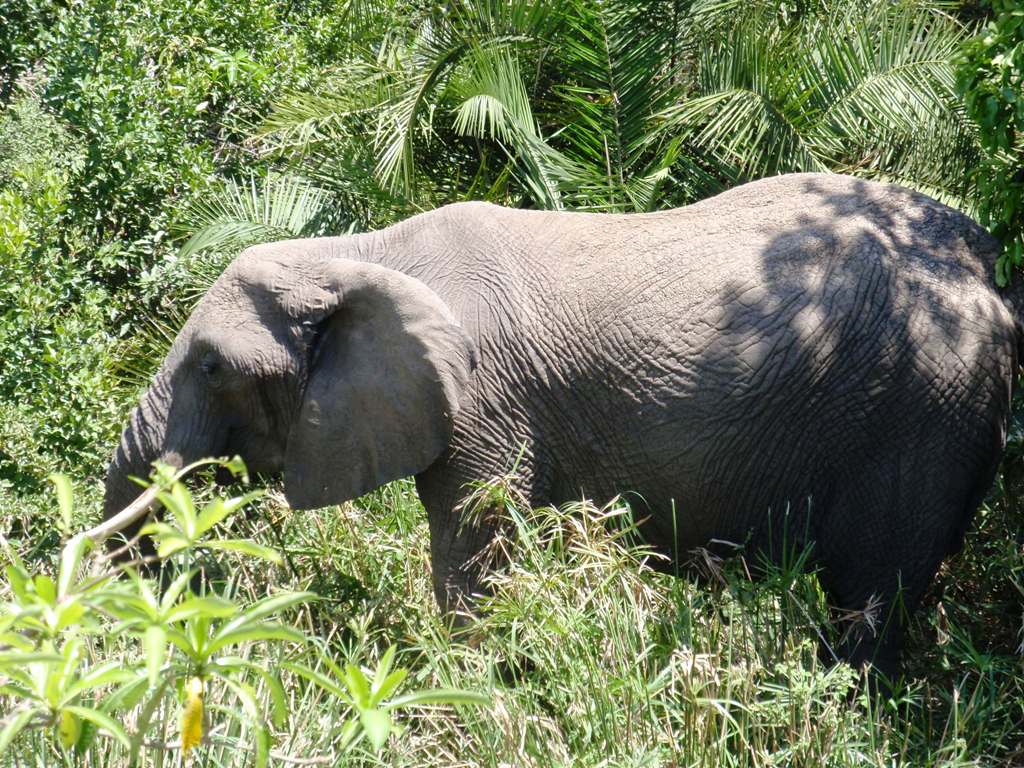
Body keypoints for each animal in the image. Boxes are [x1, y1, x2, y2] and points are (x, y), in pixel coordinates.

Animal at [103, 173, 1024, 671]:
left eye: (211, 366)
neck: (359, 253)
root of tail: (991, 275)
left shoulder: (484, 402)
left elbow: (474, 549)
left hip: (921, 411)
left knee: (868, 605)